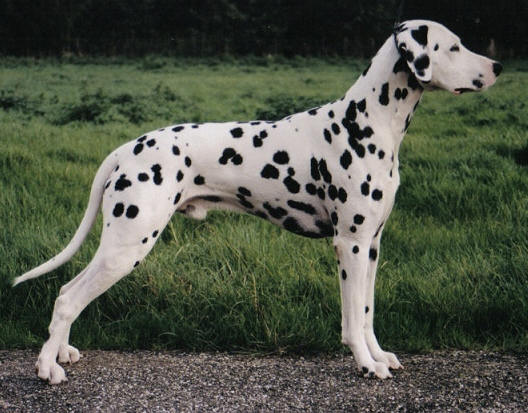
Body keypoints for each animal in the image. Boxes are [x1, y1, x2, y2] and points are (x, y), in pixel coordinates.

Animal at [14, 20, 502, 383]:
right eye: (454, 47)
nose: (498, 66)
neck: (366, 123)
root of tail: (126, 149)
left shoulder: (373, 244)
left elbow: (366, 312)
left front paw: (380, 356)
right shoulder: (349, 244)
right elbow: (351, 319)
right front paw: (366, 365)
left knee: (69, 295)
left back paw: (62, 353)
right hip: (127, 244)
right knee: (67, 297)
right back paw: (47, 368)